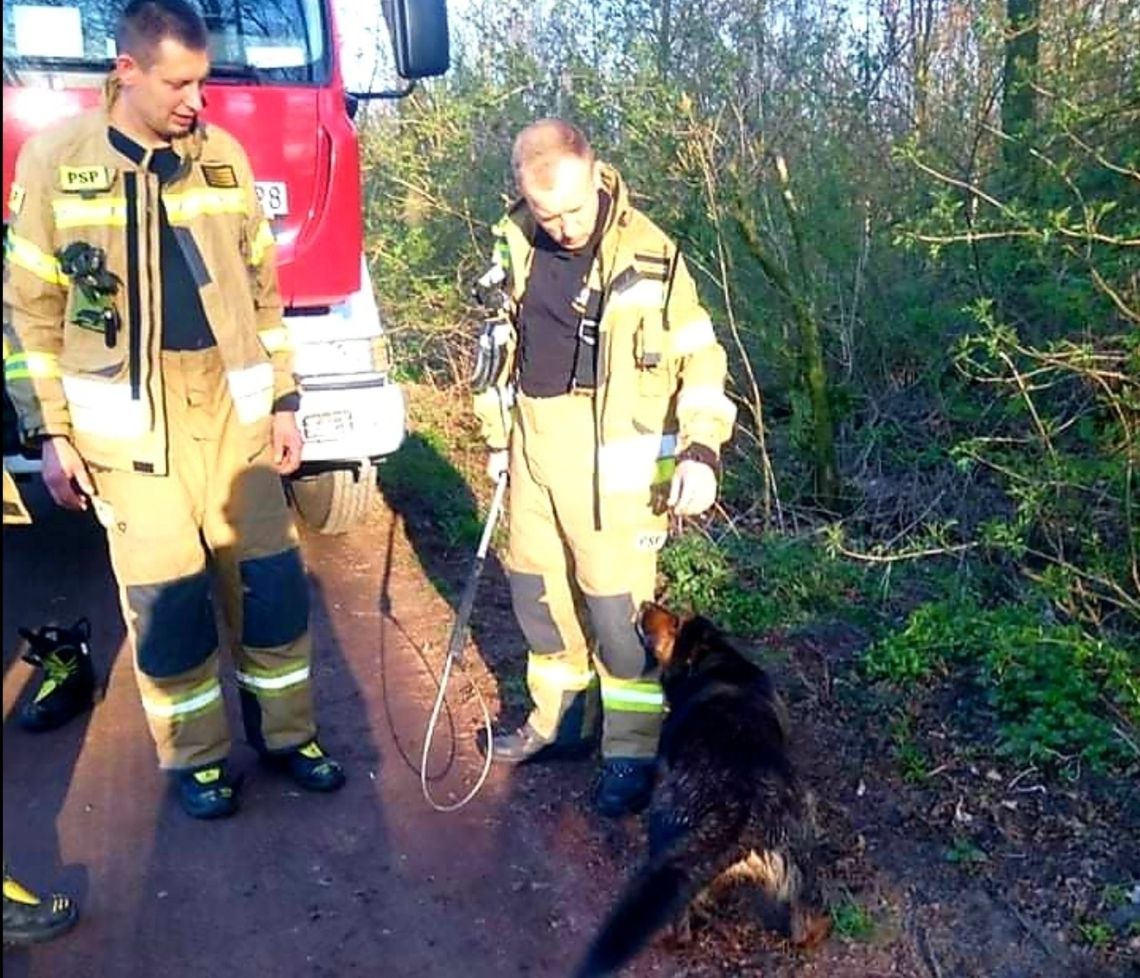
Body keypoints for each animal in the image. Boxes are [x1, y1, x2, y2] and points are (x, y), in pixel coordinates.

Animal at [570, 597, 829, 971]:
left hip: (669, 839)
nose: (644, 604)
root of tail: (743, 809)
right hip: (801, 855)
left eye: (674, 622)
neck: (715, 659)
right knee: (805, 917)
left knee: (676, 920)